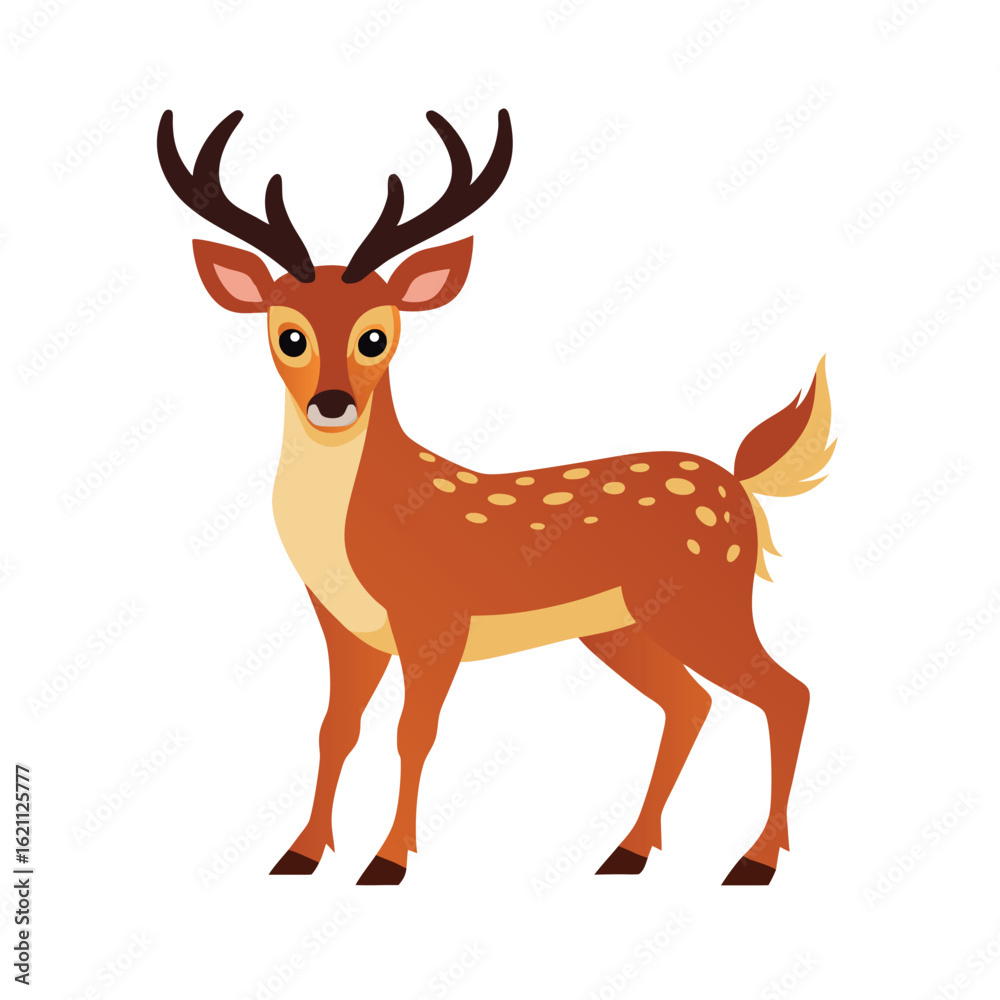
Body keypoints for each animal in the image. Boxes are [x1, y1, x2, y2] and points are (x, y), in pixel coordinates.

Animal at [157, 107, 833, 886]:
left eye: (376, 335)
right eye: (289, 335)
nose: (333, 405)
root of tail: (738, 485)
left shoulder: (436, 615)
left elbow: (414, 732)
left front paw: (388, 861)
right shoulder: (343, 625)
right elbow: (336, 729)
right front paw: (298, 853)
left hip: (705, 595)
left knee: (786, 692)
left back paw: (755, 861)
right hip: (620, 625)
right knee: (692, 703)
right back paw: (629, 852)